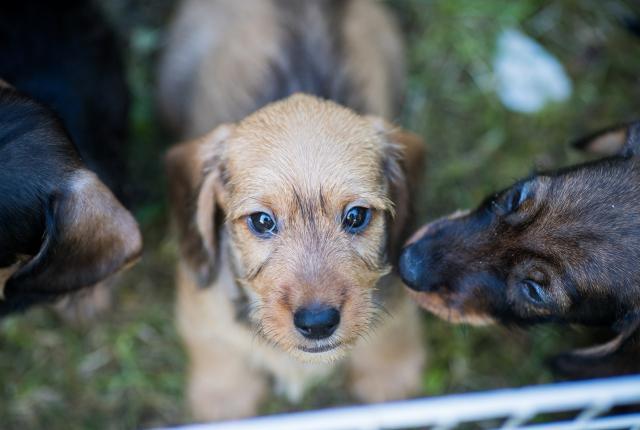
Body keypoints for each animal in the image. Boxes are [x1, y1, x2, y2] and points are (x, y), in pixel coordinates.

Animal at [161, 0, 424, 420]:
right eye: (261, 221)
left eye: (356, 216)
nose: (317, 323)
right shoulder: (201, 310)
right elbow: (216, 350)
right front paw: (224, 396)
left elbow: (392, 331)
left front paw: (389, 376)